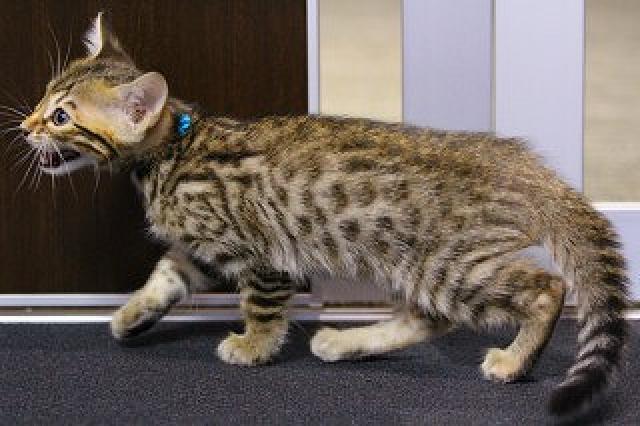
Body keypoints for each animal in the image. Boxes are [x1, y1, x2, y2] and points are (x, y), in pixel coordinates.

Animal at [16, 13, 629, 416]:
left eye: (62, 116)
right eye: (44, 96)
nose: (24, 126)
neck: (173, 151)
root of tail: (519, 165)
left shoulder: (262, 255)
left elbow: (262, 308)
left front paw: (253, 347)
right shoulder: (202, 252)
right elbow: (165, 276)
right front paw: (131, 315)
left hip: (451, 264)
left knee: (545, 289)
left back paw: (514, 360)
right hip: (418, 265)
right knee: (430, 318)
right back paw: (344, 343)